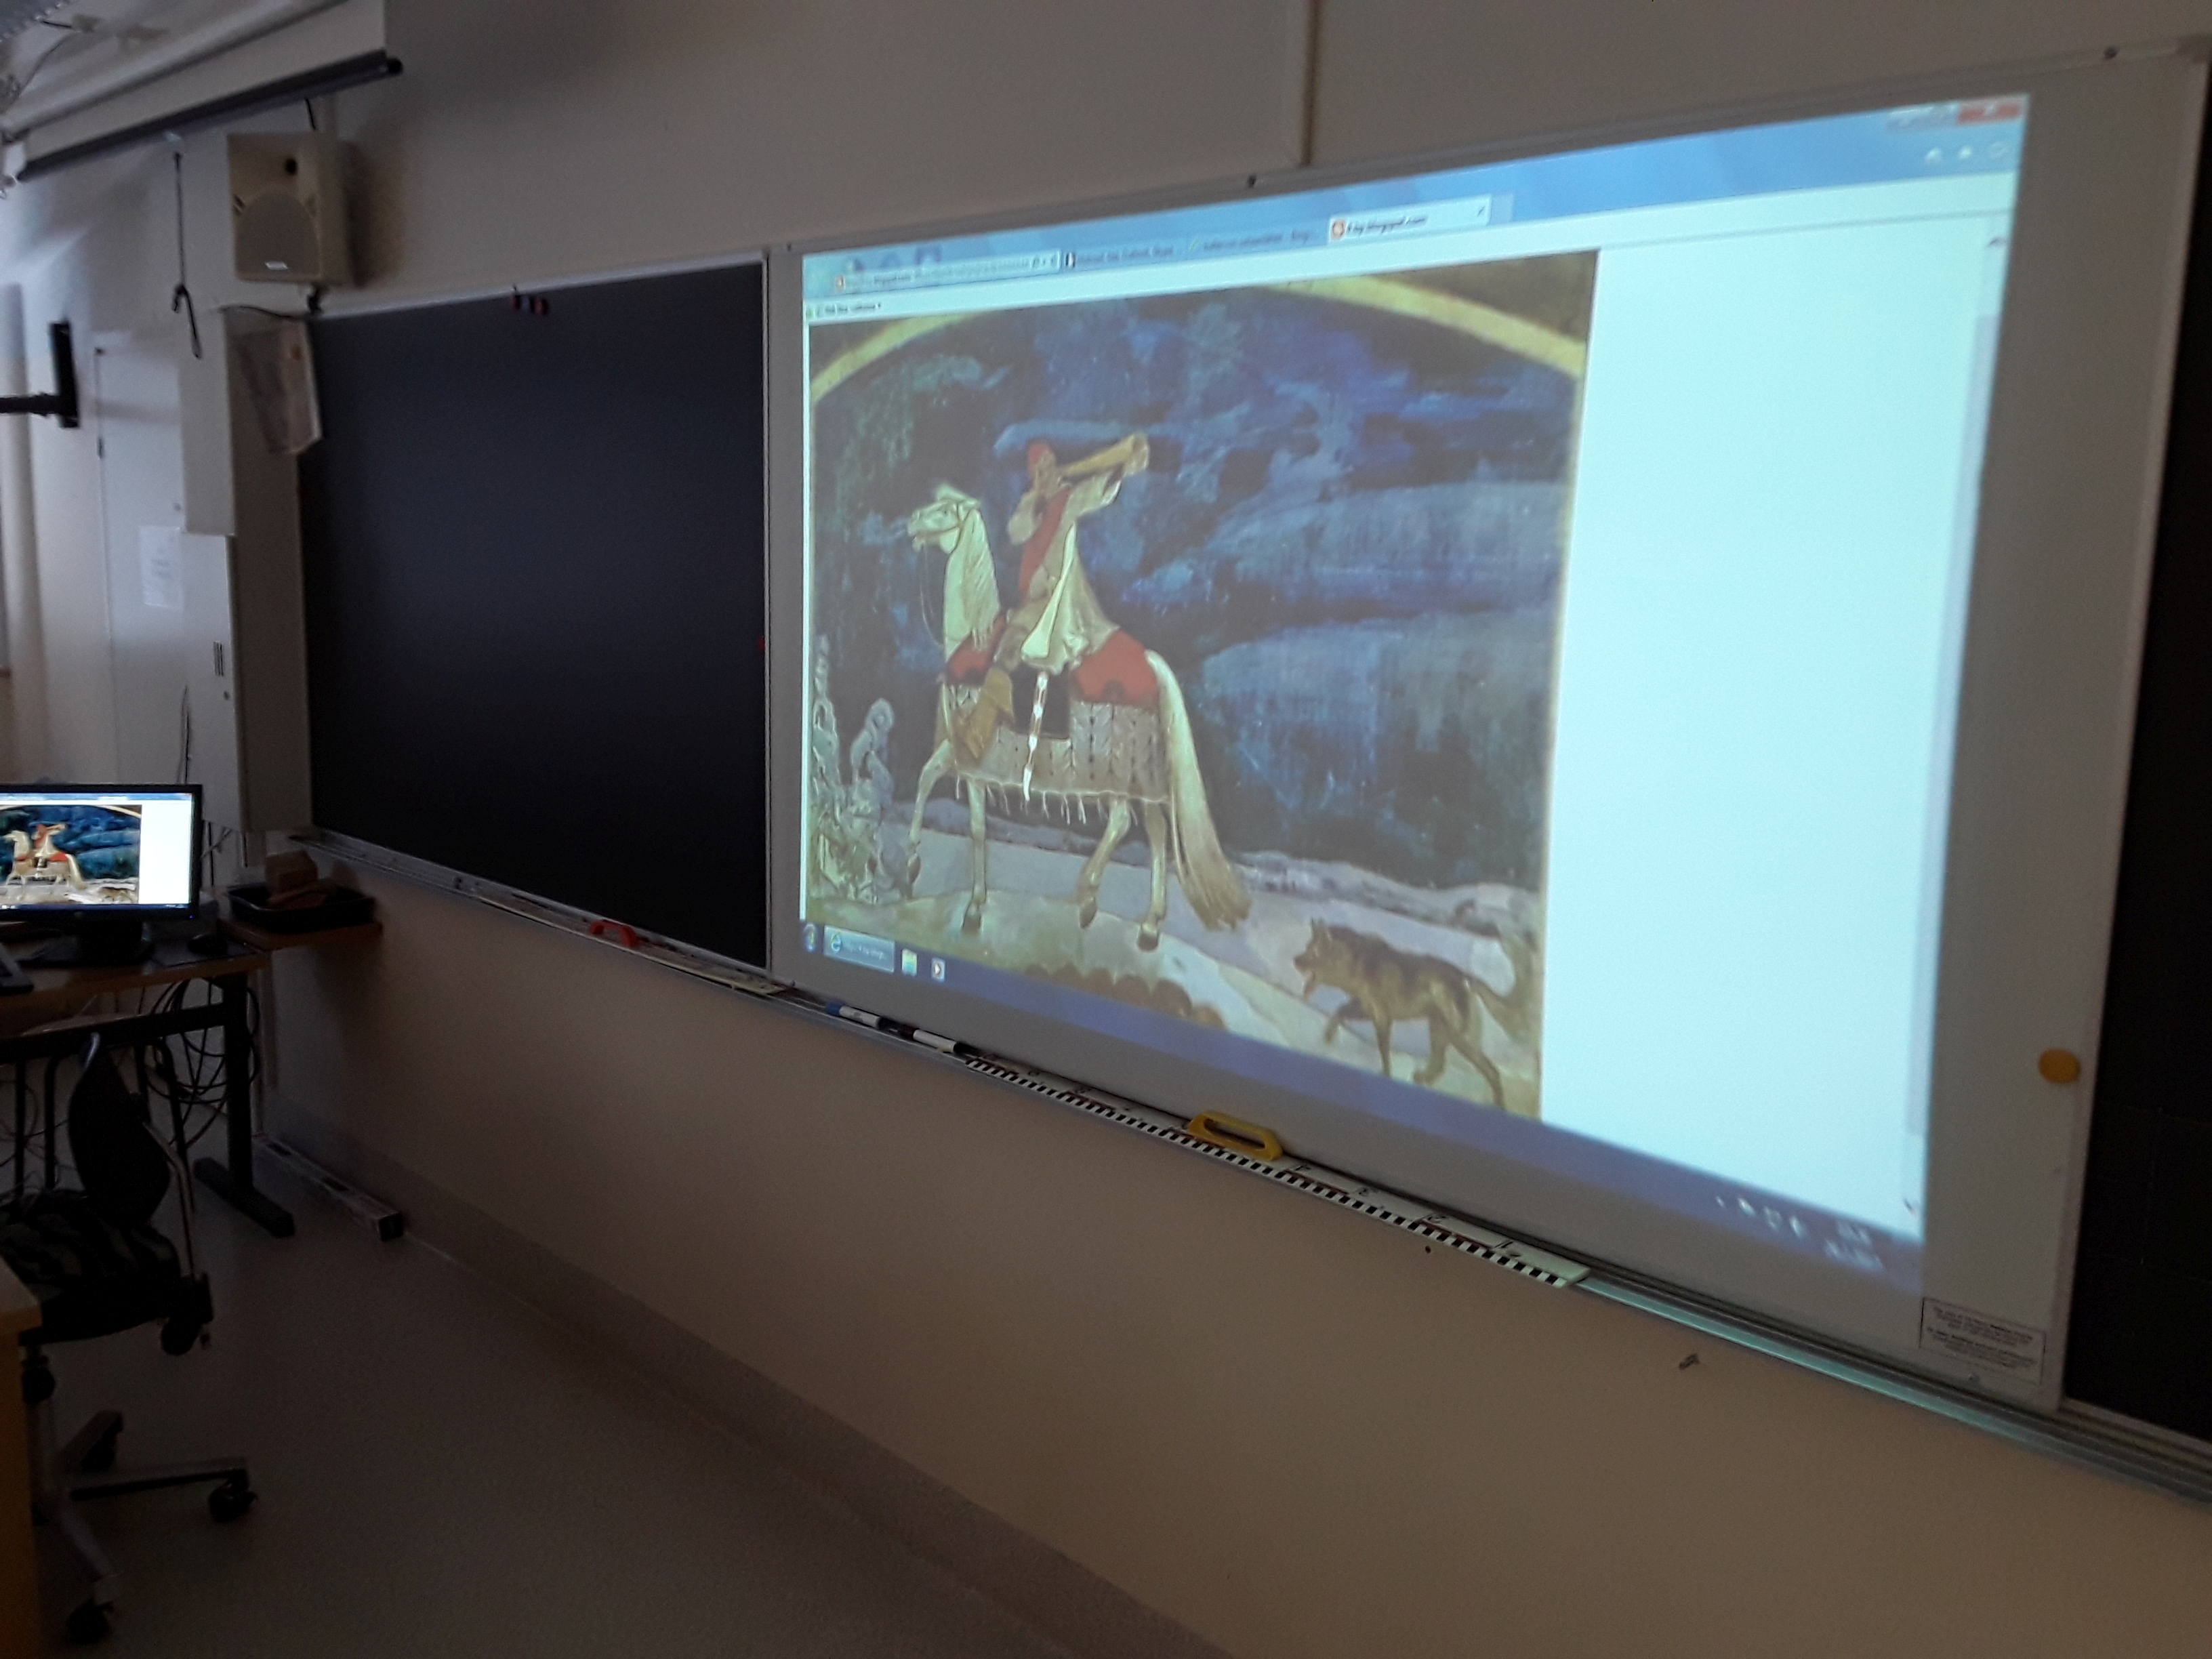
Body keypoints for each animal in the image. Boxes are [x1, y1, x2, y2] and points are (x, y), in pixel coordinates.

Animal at [902, 486, 1248, 949]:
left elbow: (929, 784)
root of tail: (1151, 662)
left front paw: (914, 869)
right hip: (1141, 772)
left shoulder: (964, 751)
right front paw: (974, 905)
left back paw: (1088, 896)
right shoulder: (974, 765)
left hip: (1119, 765)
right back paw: (1149, 925)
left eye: (943, 510)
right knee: (1155, 831)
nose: (911, 522)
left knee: (1122, 822)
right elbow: (974, 825)